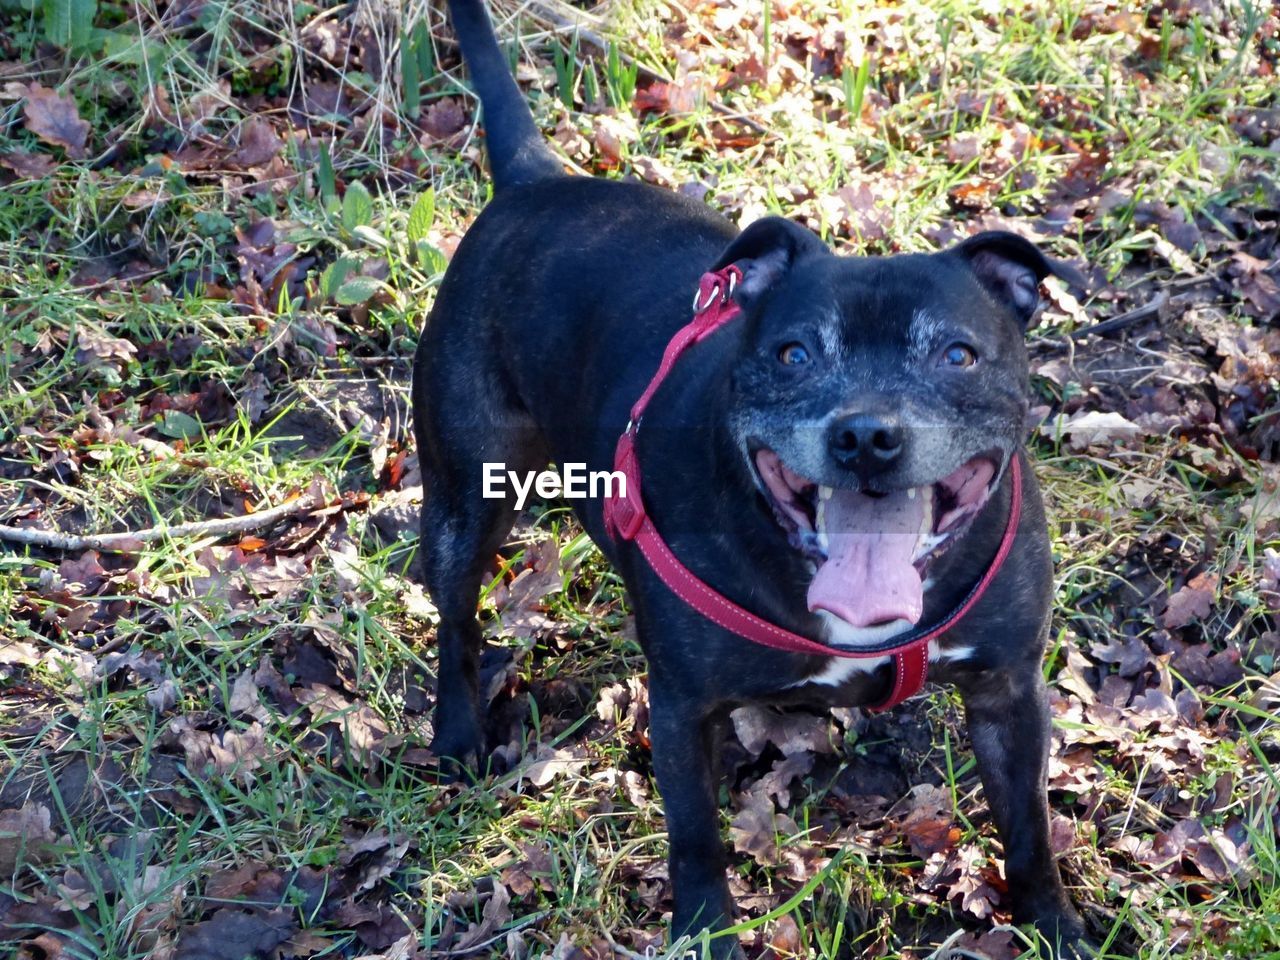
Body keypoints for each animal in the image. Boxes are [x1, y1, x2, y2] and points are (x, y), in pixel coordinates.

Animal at [417, 3, 1090, 957]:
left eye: (958, 354)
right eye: (793, 353)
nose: (867, 437)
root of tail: (533, 181)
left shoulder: (1009, 693)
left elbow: (1029, 828)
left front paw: (1057, 927)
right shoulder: (682, 708)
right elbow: (696, 838)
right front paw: (705, 931)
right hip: (467, 487)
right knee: (456, 613)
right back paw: (457, 729)